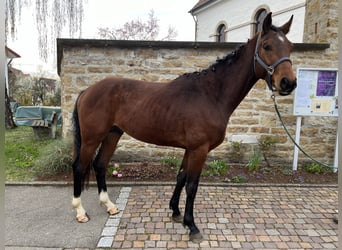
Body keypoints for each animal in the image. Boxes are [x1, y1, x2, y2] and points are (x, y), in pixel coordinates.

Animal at [71, 12, 296, 242]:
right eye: (267, 46)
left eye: (290, 46)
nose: (288, 83)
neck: (211, 95)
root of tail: (87, 91)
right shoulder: (199, 149)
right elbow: (192, 185)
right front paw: (192, 225)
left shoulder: (190, 148)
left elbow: (180, 177)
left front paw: (176, 212)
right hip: (91, 138)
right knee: (79, 166)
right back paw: (80, 212)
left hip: (112, 134)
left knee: (100, 164)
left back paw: (109, 205)